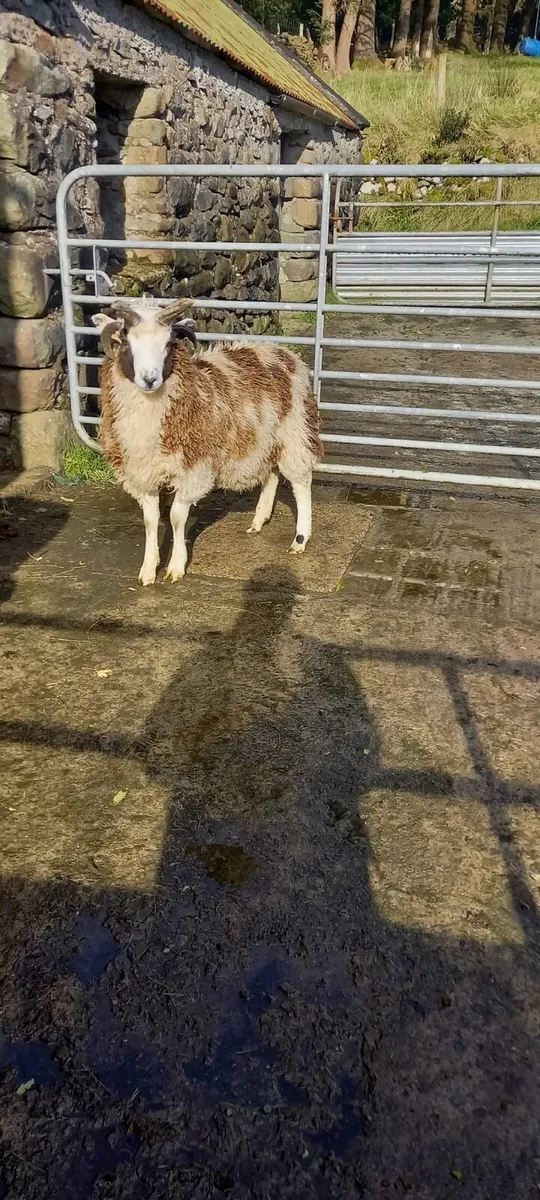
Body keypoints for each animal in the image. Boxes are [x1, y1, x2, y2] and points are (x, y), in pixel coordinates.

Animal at [92, 297, 323, 586]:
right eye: (125, 342)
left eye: (168, 344)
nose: (149, 379)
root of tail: (281, 351)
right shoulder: (142, 472)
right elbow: (151, 520)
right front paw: (148, 570)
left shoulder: (194, 467)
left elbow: (176, 518)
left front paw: (176, 567)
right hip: (263, 439)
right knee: (270, 475)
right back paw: (258, 521)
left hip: (294, 430)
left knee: (301, 481)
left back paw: (300, 538)